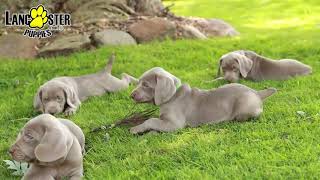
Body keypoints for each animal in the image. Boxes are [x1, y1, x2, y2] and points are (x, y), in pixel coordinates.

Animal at [129, 67, 276, 134]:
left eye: (146, 85)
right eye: (139, 82)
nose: (131, 95)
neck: (173, 96)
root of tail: (256, 92)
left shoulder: (175, 124)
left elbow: (151, 120)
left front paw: (136, 128)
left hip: (244, 107)